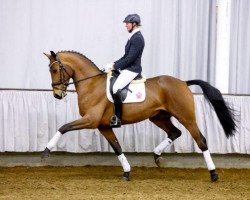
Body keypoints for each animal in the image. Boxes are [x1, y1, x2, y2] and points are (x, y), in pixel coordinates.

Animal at [42, 50, 235, 182]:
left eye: (54, 70)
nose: (57, 95)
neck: (91, 84)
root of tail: (183, 83)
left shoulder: (91, 120)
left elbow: (63, 127)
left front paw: (46, 150)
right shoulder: (103, 126)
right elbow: (117, 147)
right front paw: (127, 172)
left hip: (186, 118)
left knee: (201, 141)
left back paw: (213, 174)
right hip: (158, 117)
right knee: (175, 132)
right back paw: (157, 156)